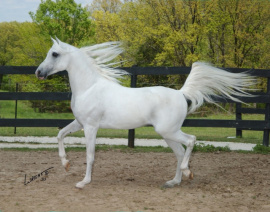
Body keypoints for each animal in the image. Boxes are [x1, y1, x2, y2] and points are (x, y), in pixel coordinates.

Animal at [35, 38, 255, 189]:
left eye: (54, 54)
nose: (38, 72)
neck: (89, 87)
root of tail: (181, 93)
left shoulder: (90, 127)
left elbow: (90, 155)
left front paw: (84, 182)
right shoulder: (79, 123)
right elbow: (60, 135)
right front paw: (66, 164)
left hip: (168, 131)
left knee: (191, 140)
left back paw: (187, 172)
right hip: (168, 134)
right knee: (180, 152)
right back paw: (174, 181)